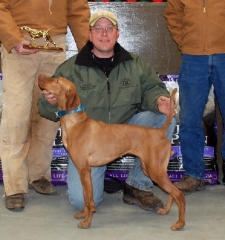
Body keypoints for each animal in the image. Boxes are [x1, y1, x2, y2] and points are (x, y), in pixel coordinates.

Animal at [38, 73, 185, 231]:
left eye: (57, 81)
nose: (40, 76)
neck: (76, 123)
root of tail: (160, 132)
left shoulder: (84, 170)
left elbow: (89, 199)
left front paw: (87, 221)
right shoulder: (83, 171)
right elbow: (84, 195)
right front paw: (83, 214)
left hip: (155, 171)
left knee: (179, 194)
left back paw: (180, 223)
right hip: (151, 169)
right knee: (172, 192)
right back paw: (166, 210)